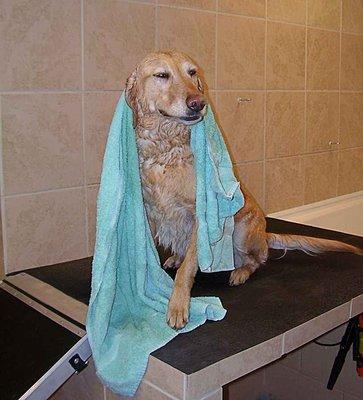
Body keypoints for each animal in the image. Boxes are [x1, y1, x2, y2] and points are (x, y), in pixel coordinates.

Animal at [126, 51, 363, 330]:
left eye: (192, 72)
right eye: (162, 75)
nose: (198, 103)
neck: (165, 147)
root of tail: (265, 234)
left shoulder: (200, 217)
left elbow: (186, 272)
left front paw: (178, 306)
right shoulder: (149, 212)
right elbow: (147, 257)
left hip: (240, 232)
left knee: (257, 260)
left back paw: (240, 272)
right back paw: (176, 256)